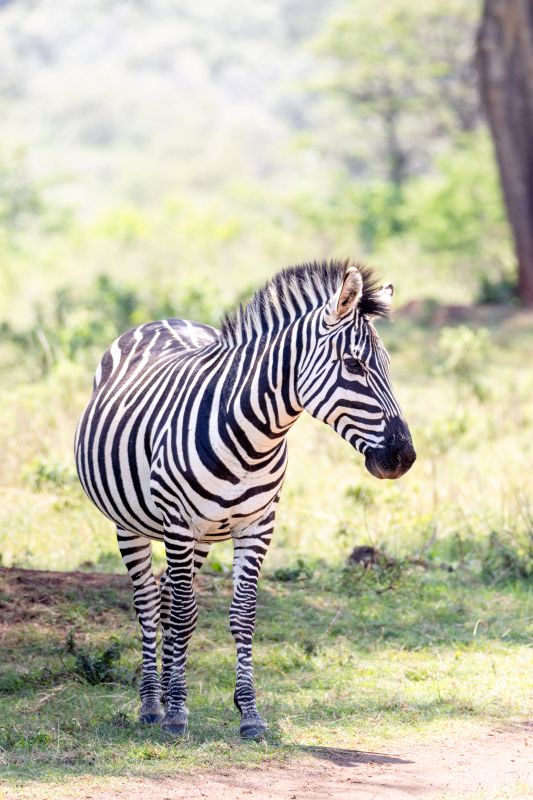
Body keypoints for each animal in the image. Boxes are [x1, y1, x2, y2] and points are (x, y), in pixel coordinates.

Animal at [75, 260, 416, 739]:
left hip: (200, 537)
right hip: (134, 524)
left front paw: (250, 713)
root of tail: (161, 320)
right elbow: (184, 615)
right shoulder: (178, 522)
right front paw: (177, 713)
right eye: (354, 364)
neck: (255, 436)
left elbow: (242, 614)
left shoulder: (258, 525)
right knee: (149, 604)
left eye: (386, 365)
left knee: (166, 598)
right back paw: (152, 705)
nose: (404, 457)